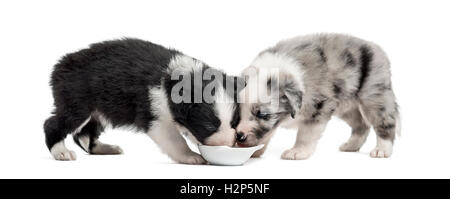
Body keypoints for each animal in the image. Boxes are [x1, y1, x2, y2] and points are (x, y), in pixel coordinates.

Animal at [43, 37, 243, 163]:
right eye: (209, 126)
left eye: (234, 123)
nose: (230, 143)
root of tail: (60, 65)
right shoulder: (156, 117)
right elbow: (175, 140)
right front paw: (190, 156)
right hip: (77, 103)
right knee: (53, 124)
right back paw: (61, 152)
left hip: (99, 111)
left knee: (83, 134)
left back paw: (104, 148)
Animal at [236, 33, 400, 159]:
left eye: (262, 114)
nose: (239, 136)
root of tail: (377, 48)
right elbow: (267, 133)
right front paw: (255, 150)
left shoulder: (319, 107)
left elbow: (305, 133)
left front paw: (297, 151)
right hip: (346, 108)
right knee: (361, 125)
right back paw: (351, 146)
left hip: (374, 96)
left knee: (385, 122)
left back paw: (382, 150)